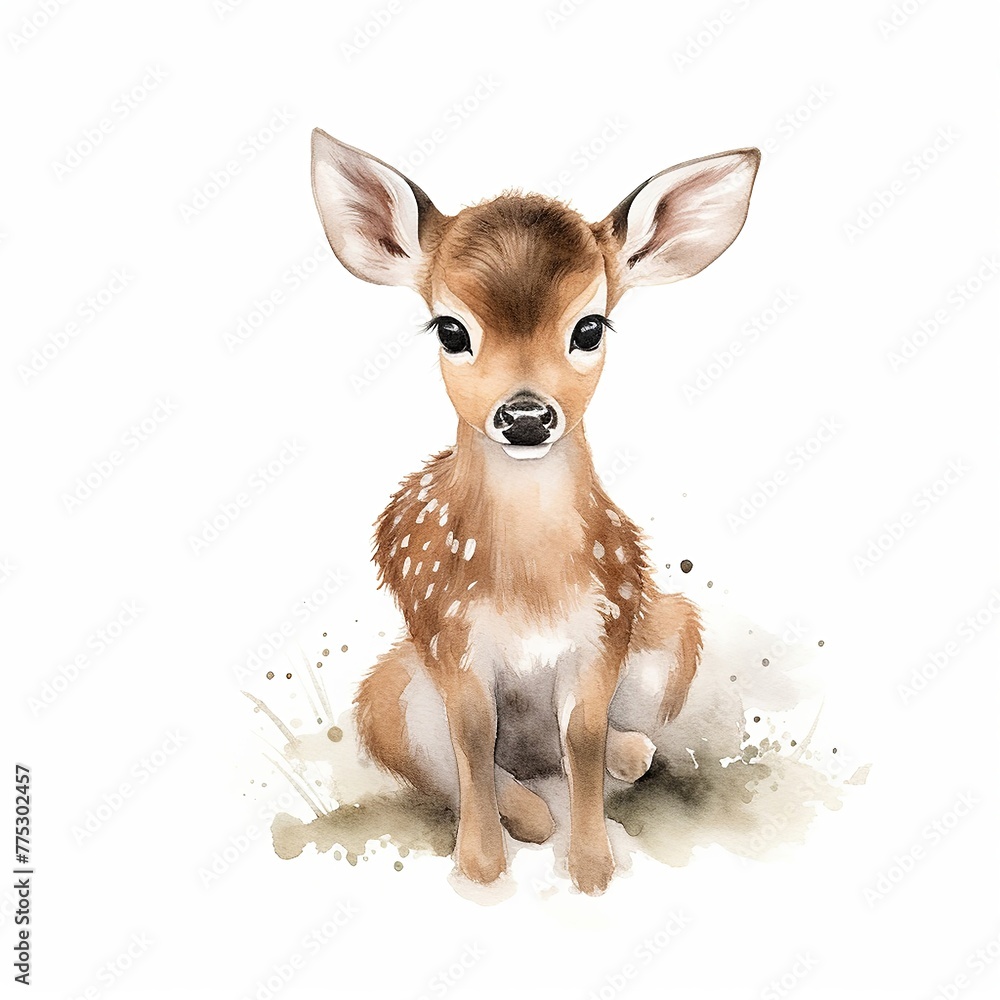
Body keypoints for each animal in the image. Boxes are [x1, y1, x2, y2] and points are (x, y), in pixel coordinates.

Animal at [311, 129, 759, 894]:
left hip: (671, 628)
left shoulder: (604, 625)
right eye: (450, 329)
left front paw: (592, 868)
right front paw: (481, 867)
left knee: (577, 746)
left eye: (590, 326)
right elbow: (469, 736)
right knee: (455, 759)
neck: (530, 587)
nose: (525, 416)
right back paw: (528, 813)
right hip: (388, 692)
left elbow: (580, 737)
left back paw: (627, 753)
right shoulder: (450, 632)